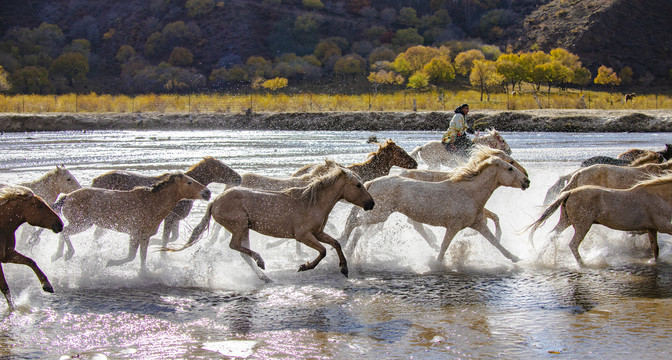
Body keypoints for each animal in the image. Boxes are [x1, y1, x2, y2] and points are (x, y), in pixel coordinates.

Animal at [52, 172, 210, 272]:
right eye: (189, 182)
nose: (207, 193)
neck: (152, 203)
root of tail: (67, 197)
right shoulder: (134, 234)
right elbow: (131, 256)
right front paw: (110, 263)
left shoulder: (145, 236)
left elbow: (142, 257)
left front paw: (143, 273)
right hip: (81, 223)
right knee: (64, 232)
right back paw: (66, 253)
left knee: (63, 232)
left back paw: (58, 255)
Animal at [90, 156, 240, 249]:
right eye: (221, 167)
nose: (238, 178)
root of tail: (96, 180)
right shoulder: (169, 218)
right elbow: (166, 239)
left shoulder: (175, 219)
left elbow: (173, 237)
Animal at [161, 165, 372, 282]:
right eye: (358, 185)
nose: (371, 203)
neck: (312, 202)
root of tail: (215, 201)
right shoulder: (303, 235)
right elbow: (323, 251)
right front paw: (304, 266)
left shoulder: (318, 233)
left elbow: (336, 243)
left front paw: (344, 268)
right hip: (239, 226)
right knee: (234, 246)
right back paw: (261, 261)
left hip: (244, 229)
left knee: (242, 252)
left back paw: (264, 276)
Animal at [342, 155, 532, 264]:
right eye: (510, 167)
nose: (527, 181)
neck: (470, 193)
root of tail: (372, 183)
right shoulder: (453, 227)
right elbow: (444, 246)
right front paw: (438, 264)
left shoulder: (478, 223)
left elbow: (494, 242)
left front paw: (515, 258)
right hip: (379, 215)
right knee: (354, 223)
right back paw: (344, 245)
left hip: (377, 215)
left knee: (359, 229)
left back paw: (351, 251)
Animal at [528, 174, 672, 268]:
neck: (657, 196)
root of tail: (570, 193)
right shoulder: (663, 227)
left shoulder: (651, 229)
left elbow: (655, 249)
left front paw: (654, 261)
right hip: (582, 225)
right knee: (573, 244)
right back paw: (583, 264)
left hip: (566, 221)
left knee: (552, 235)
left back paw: (539, 259)